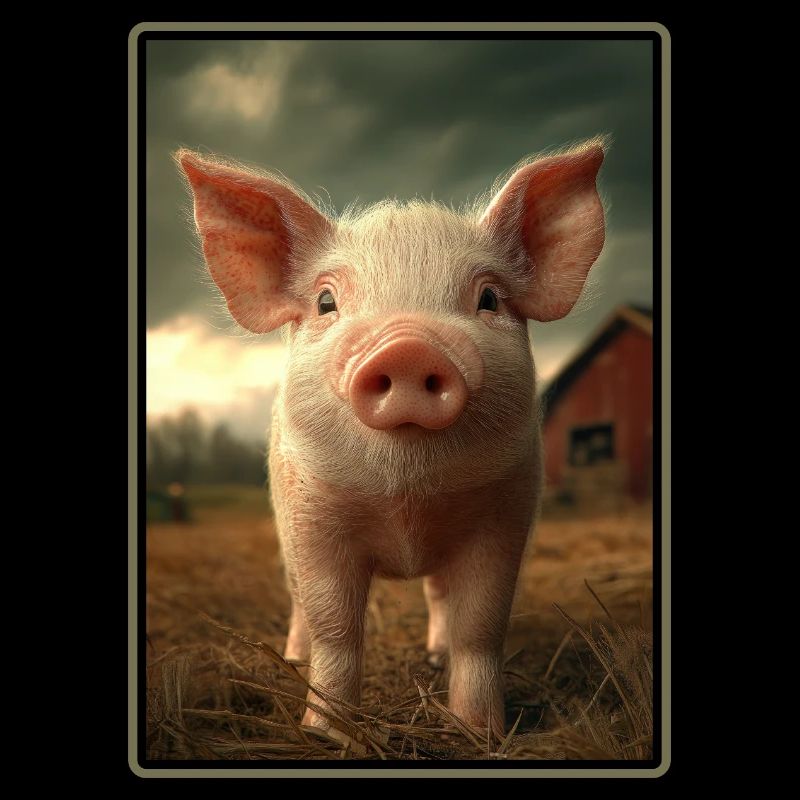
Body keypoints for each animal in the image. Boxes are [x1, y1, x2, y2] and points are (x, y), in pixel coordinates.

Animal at [176, 139, 606, 739]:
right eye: (326, 302)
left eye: (489, 298)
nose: (407, 346)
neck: (407, 502)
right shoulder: (314, 518)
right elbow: (336, 628)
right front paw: (326, 734)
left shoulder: (504, 515)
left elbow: (480, 626)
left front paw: (481, 732)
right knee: (299, 602)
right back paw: (293, 657)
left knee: (439, 597)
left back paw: (434, 656)